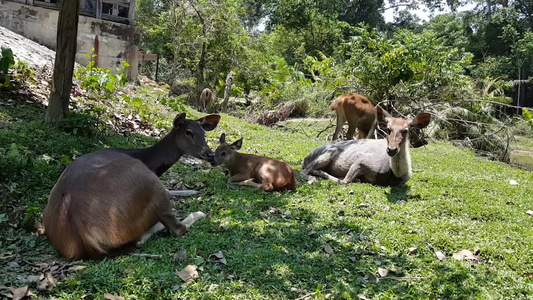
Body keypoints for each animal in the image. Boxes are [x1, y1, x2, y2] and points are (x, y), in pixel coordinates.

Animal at [41, 112, 220, 258]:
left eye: (204, 133)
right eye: (188, 132)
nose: (210, 154)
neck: (148, 160)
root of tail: (83, 233)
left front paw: (192, 191)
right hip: (145, 182)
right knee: (173, 229)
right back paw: (196, 214)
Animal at [302, 109, 430, 186]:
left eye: (406, 130)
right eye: (388, 129)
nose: (392, 149)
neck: (394, 174)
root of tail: (305, 158)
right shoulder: (360, 160)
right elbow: (344, 181)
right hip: (328, 153)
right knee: (303, 171)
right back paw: (313, 177)